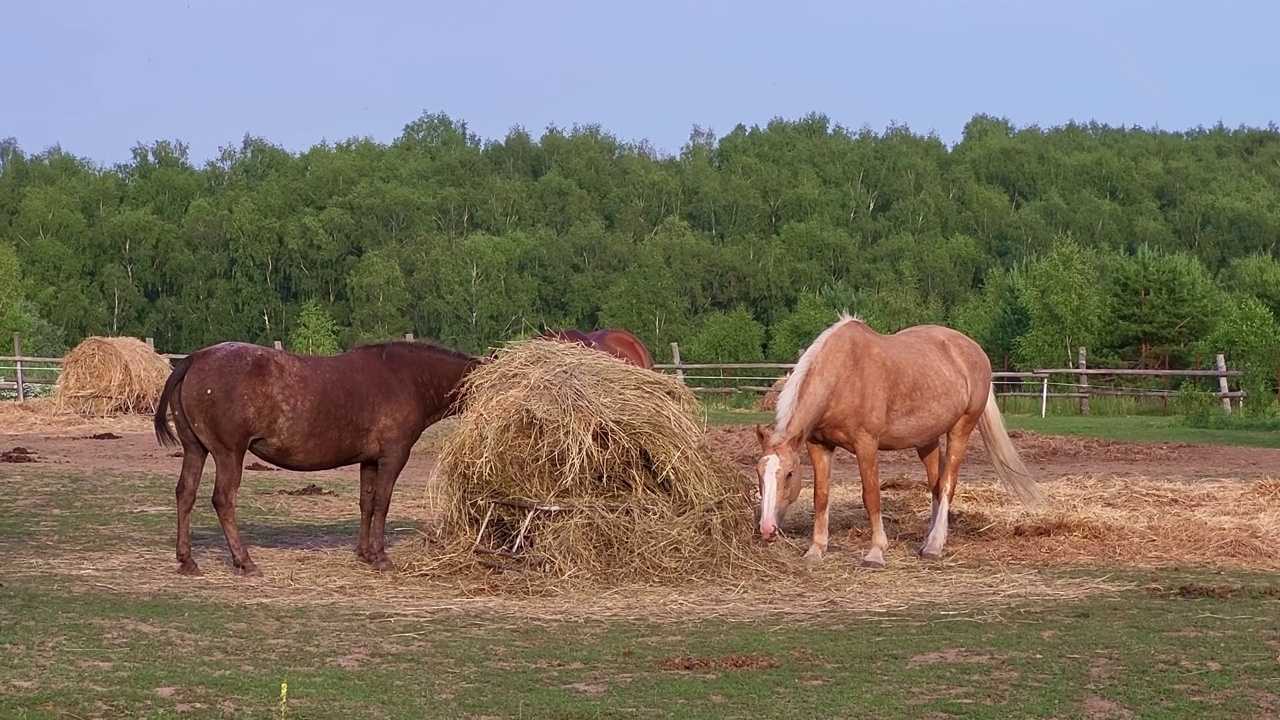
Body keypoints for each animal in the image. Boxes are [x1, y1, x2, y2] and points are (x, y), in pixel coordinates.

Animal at [153, 338, 483, 576]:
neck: (406, 378)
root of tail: (195, 359)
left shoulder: (370, 460)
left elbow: (366, 503)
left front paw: (364, 553)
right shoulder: (392, 457)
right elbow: (381, 503)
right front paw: (380, 557)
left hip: (195, 450)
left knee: (185, 493)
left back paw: (187, 561)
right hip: (228, 453)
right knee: (223, 500)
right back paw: (244, 561)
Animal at [752, 313, 1044, 566]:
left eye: (789, 474)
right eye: (759, 473)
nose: (766, 529)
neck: (844, 373)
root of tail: (975, 351)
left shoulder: (866, 445)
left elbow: (871, 495)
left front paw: (876, 552)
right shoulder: (818, 445)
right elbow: (820, 496)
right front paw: (816, 549)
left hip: (961, 428)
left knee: (947, 483)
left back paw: (935, 546)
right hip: (926, 440)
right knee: (936, 484)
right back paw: (926, 543)